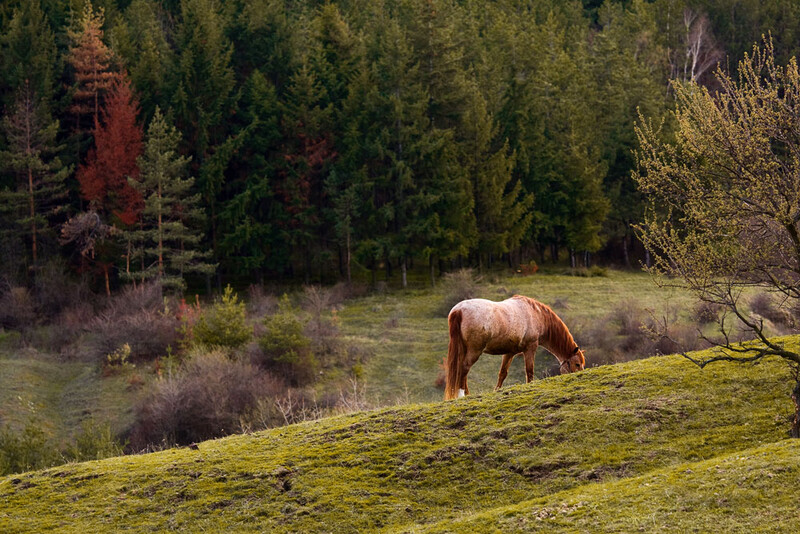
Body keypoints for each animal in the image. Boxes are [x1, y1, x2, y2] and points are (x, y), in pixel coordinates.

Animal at [444, 295, 585, 400]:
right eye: (577, 364)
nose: (579, 377)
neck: (536, 314)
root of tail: (459, 310)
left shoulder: (509, 353)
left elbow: (502, 373)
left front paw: (496, 390)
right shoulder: (530, 348)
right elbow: (529, 371)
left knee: (462, 370)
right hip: (474, 351)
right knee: (464, 368)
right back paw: (462, 394)